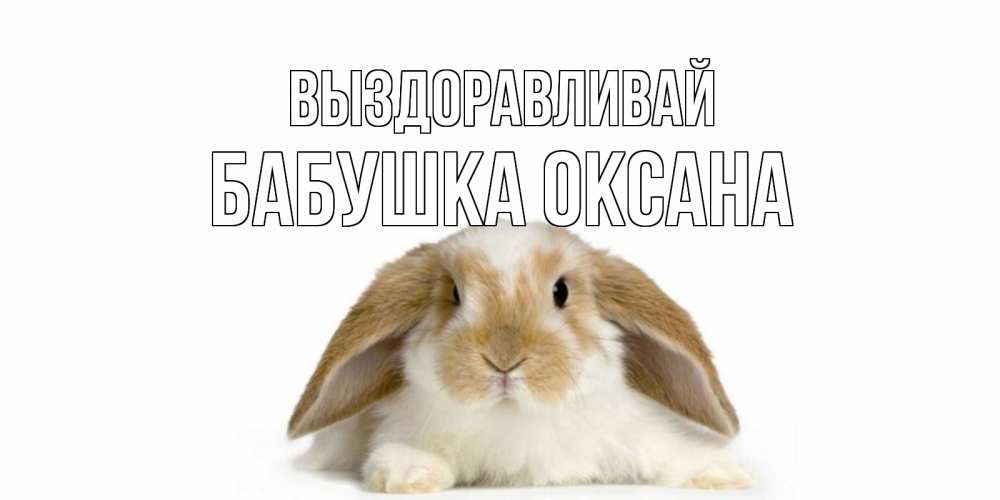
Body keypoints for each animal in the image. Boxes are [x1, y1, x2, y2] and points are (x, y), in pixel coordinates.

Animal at [288, 223, 752, 493]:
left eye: (561, 291)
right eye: (454, 293)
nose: (504, 359)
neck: (514, 416)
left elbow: (671, 452)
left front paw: (723, 474)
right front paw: (409, 474)